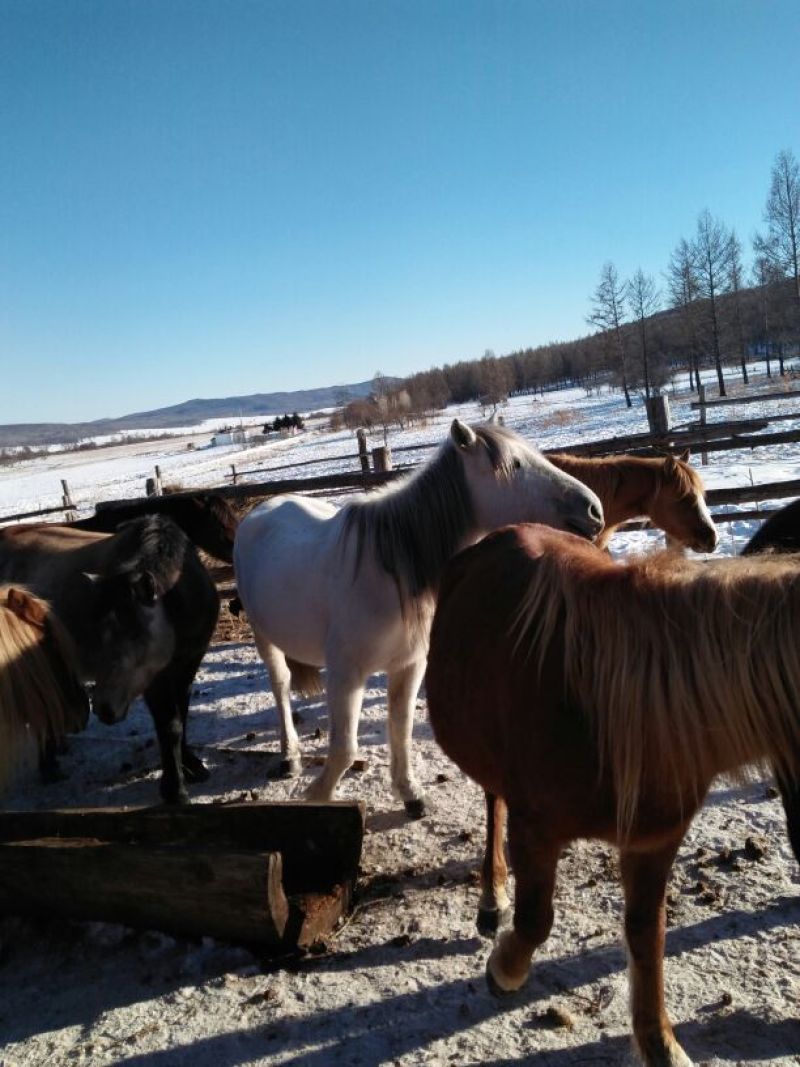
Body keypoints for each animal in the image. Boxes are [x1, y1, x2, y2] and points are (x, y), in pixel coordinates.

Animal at [234, 419, 604, 816]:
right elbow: (345, 748)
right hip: (263, 636)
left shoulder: (409, 666)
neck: (391, 570)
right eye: (515, 464)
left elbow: (401, 730)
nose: (594, 510)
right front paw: (319, 796)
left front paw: (410, 793)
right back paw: (289, 756)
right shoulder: (346, 674)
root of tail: (261, 508)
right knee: (281, 685)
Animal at [425, 523, 800, 1067]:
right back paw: (492, 897)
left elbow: (648, 935)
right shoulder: (535, 830)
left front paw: (660, 1044)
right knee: (494, 804)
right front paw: (504, 971)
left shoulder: (653, 841)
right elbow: (535, 920)